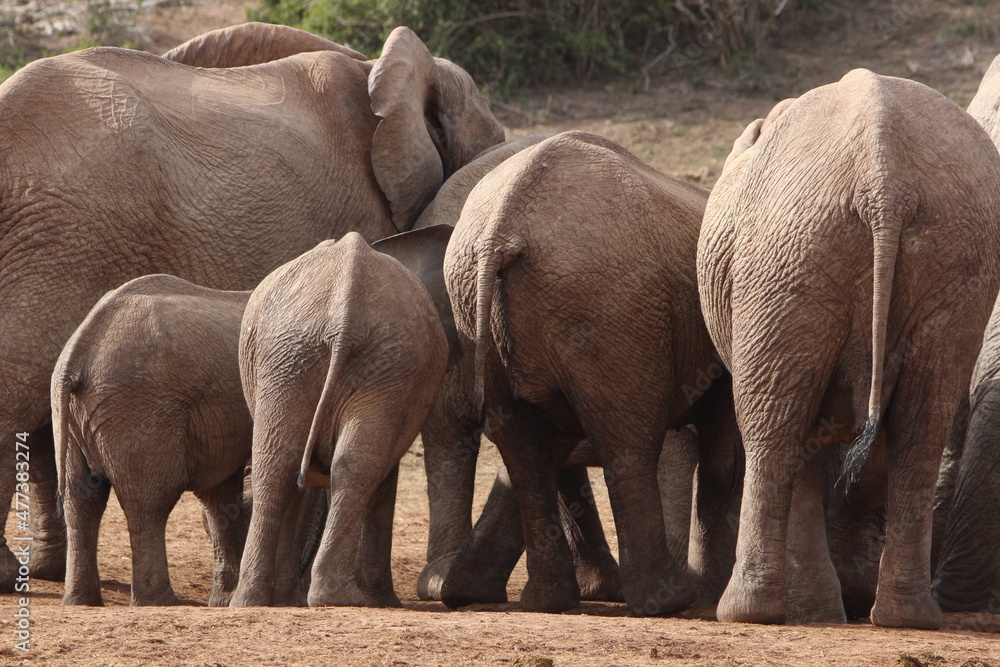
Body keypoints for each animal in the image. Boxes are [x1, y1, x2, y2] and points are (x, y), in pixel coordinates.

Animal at [52, 274, 253, 607]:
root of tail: (79, 350)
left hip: (70, 412)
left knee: (80, 500)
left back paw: (81, 602)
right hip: (141, 407)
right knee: (150, 500)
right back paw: (161, 602)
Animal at [443, 130, 743, 616]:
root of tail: (502, 228)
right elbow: (722, 458)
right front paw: (708, 597)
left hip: (474, 307)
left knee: (523, 448)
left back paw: (546, 602)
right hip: (614, 308)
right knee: (629, 445)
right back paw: (665, 600)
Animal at [697, 69, 1000, 629]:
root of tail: (885, 183)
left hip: (786, 255)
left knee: (772, 427)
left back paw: (746, 613)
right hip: (952, 262)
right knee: (920, 431)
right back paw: (903, 617)